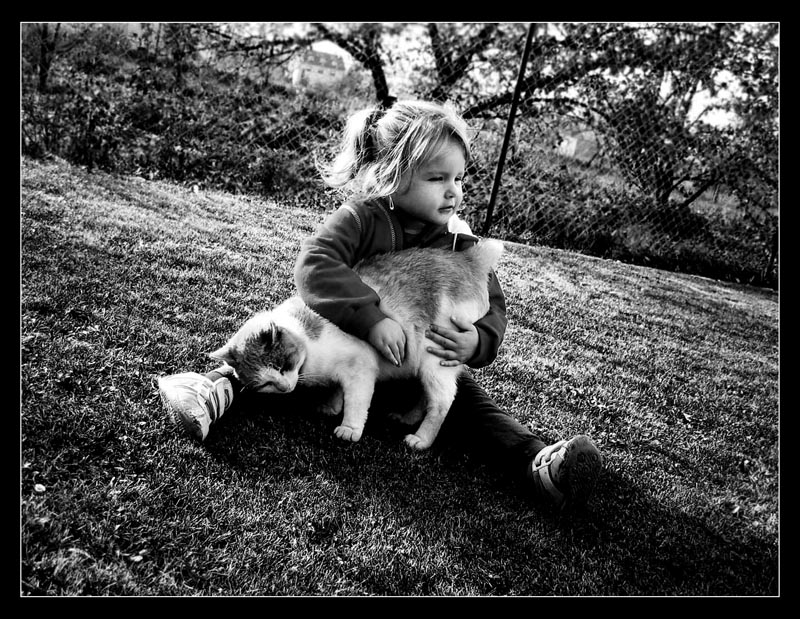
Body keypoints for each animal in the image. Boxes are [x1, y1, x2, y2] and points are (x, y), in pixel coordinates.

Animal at [209, 239, 503, 451]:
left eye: (281, 366)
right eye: (264, 385)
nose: (284, 388)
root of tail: (470, 259)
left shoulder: (361, 370)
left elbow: (356, 403)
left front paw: (349, 428)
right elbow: (339, 392)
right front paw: (331, 406)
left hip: (435, 361)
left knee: (442, 402)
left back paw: (421, 439)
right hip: (424, 366)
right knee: (426, 396)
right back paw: (407, 417)